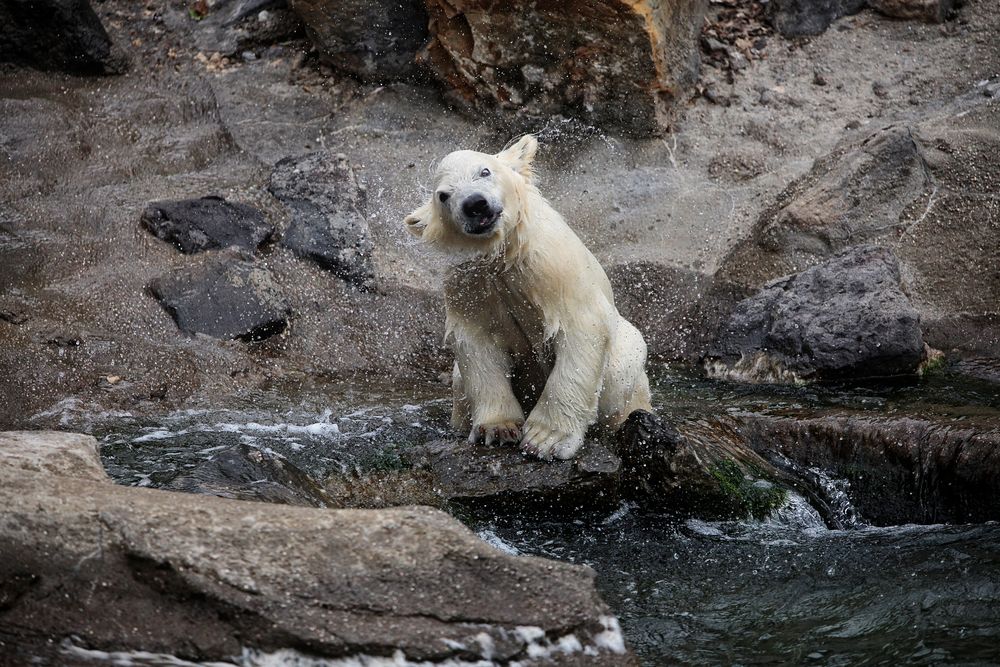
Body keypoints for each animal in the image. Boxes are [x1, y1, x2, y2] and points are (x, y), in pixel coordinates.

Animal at [402, 135, 652, 460]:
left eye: (485, 171)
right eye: (444, 195)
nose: (475, 204)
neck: (502, 255)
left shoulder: (553, 267)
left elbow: (581, 331)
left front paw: (546, 439)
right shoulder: (470, 285)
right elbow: (477, 347)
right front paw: (498, 429)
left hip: (624, 364)